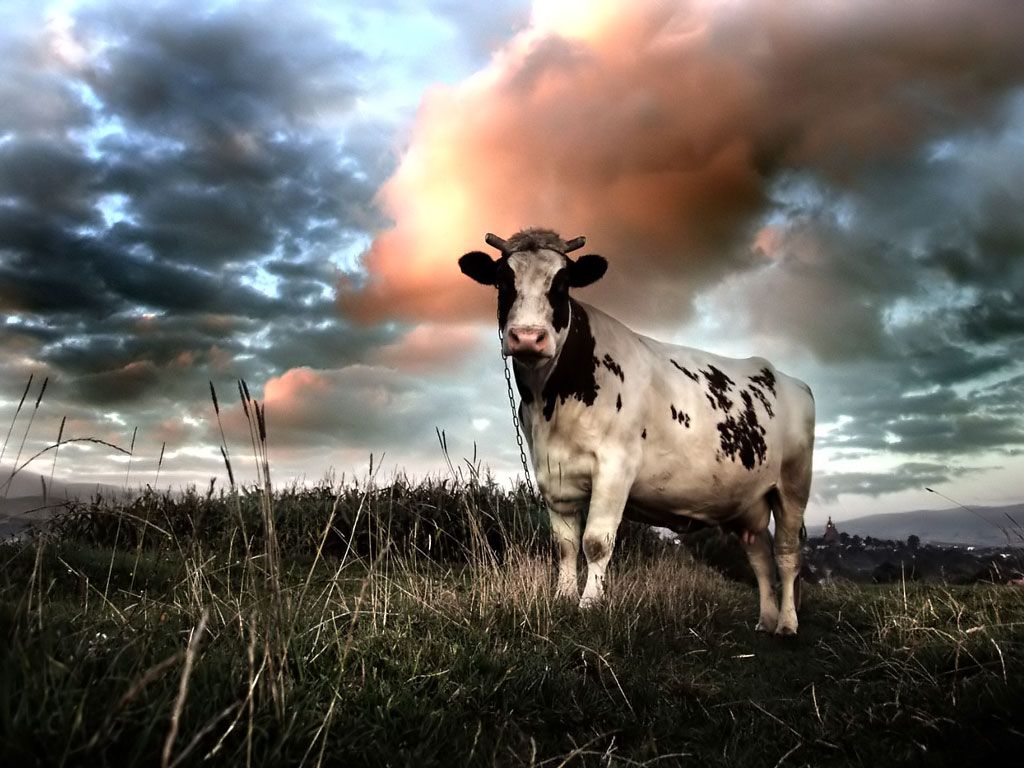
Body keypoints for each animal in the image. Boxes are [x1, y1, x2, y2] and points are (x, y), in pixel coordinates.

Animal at [459, 228, 815, 635]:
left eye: (562, 283)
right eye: (503, 280)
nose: (528, 337)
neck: (551, 402)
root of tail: (790, 380)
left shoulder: (617, 464)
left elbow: (595, 542)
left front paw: (589, 605)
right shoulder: (553, 473)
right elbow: (564, 544)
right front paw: (562, 598)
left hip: (793, 485)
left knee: (787, 556)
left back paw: (787, 624)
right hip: (746, 503)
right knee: (760, 559)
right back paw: (766, 620)